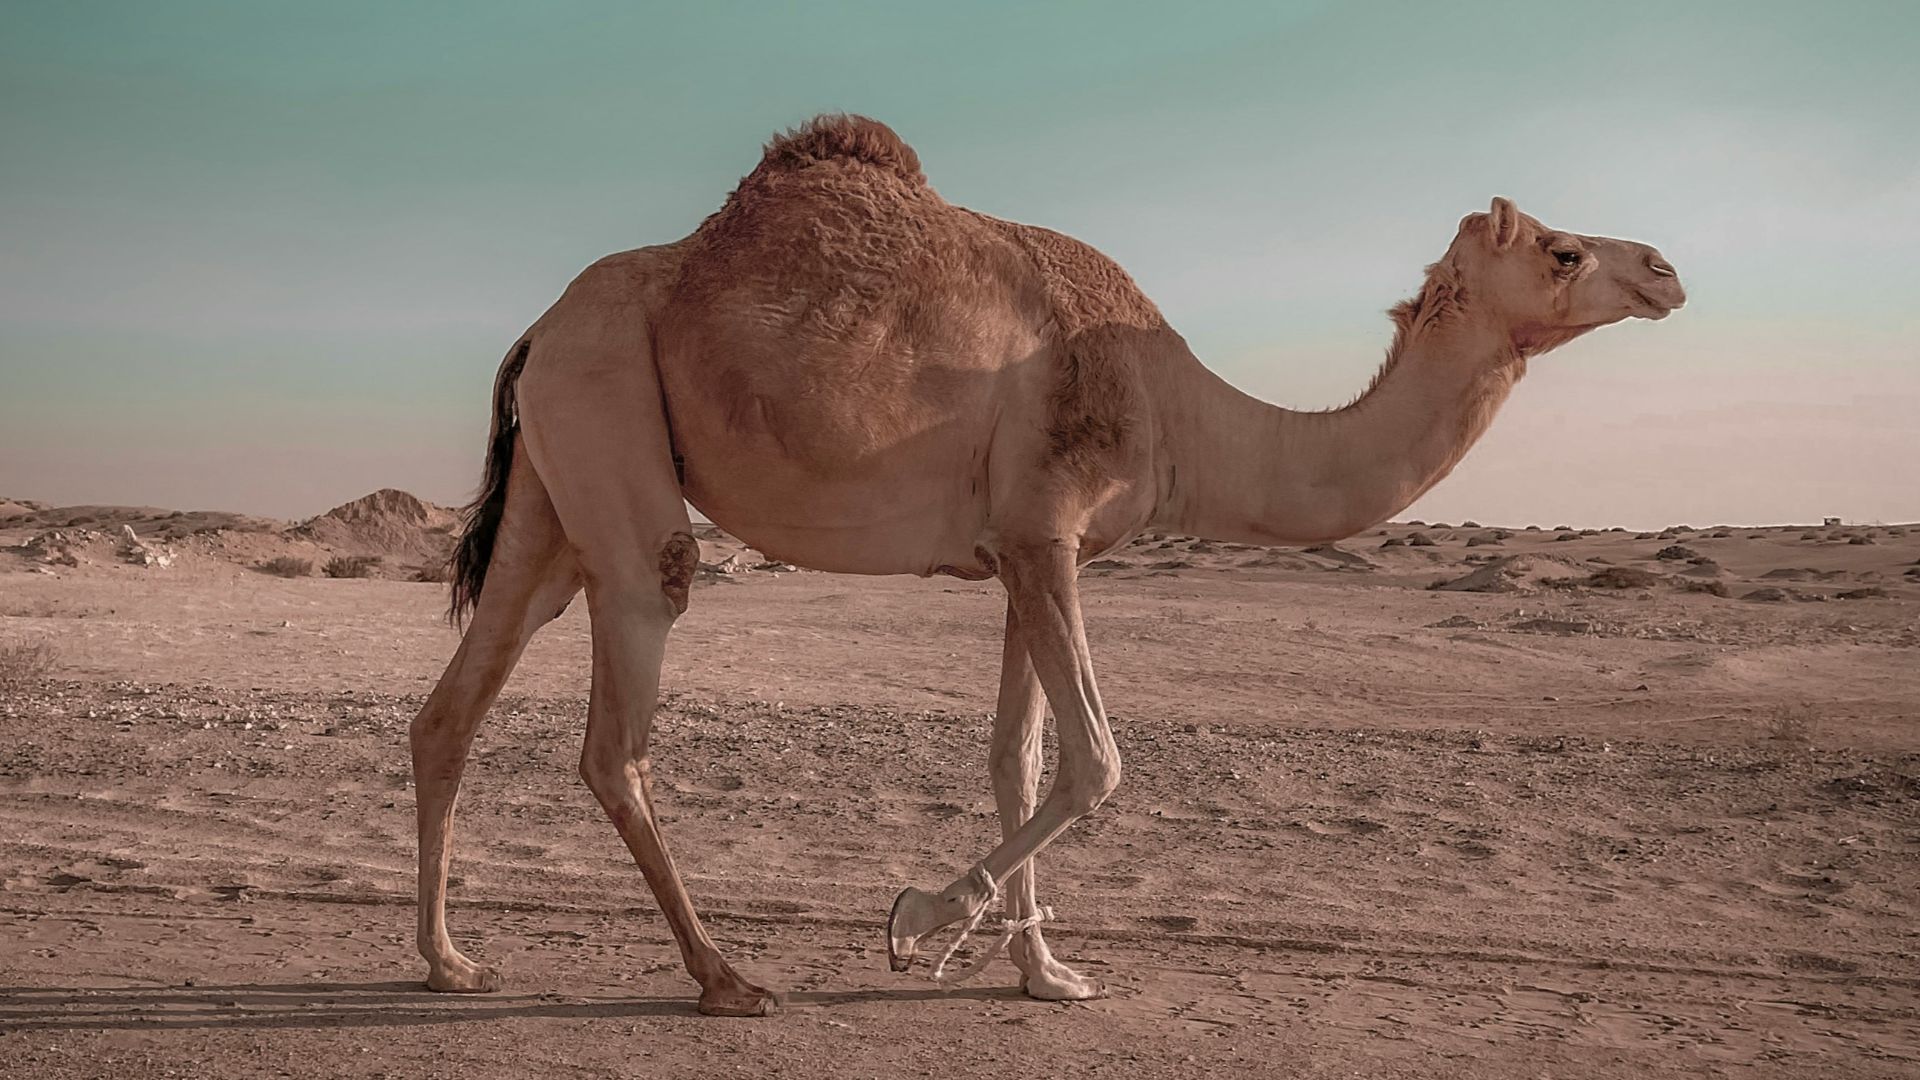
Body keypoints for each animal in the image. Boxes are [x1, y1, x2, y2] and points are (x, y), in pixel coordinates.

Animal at [409, 114, 1685, 1016]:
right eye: (1565, 250)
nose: (1667, 268)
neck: (1181, 414)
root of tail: (538, 327)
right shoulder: (1047, 531)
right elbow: (1097, 762)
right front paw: (917, 923)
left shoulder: (1022, 552)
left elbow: (1017, 760)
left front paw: (1043, 973)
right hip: (611, 418)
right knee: (620, 715)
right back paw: (725, 979)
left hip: (553, 485)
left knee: (455, 706)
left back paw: (449, 960)